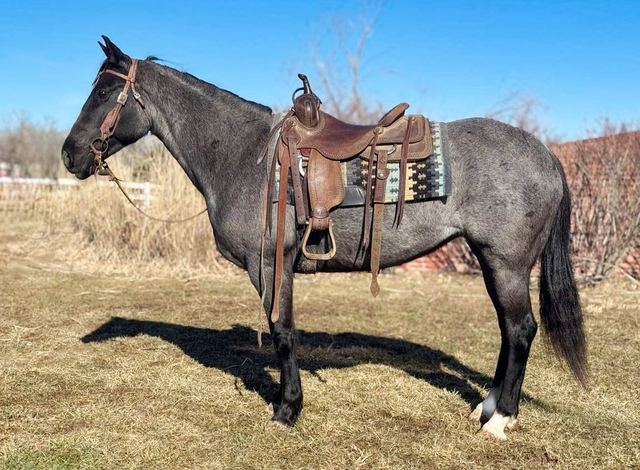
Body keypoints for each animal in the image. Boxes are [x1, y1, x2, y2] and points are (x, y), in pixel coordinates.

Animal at [61, 36, 587, 440]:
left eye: (105, 92)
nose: (69, 155)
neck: (245, 156)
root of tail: (545, 153)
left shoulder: (270, 264)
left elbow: (283, 331)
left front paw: (287, 408)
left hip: (507, 264)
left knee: (520, 330)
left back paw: (500, 420)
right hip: (491, 261)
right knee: (507, 331)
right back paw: (486, 407)